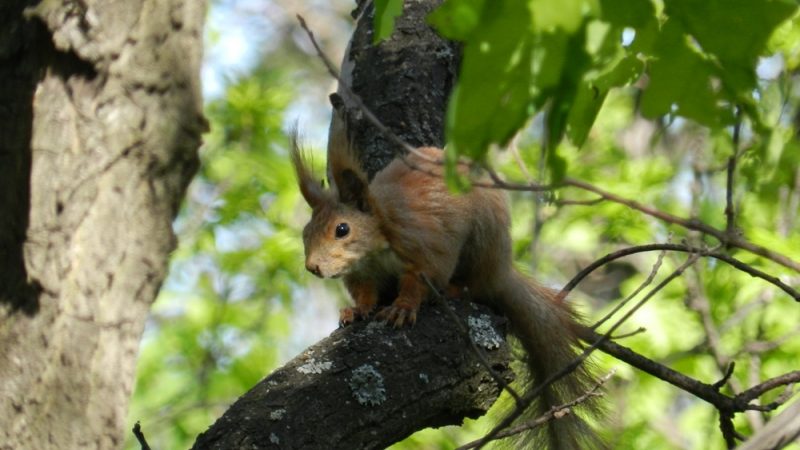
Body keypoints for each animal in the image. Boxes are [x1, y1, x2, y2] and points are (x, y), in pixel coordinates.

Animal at [290, 123, 600, 450]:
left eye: (342, 229)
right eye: (306, 232)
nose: (313, 267)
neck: (378, 245)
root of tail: (500, 270)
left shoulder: (425, 246)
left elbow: (419, 281)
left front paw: (402, 308)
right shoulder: (363, 274)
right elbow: (366, 294)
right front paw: (356, 310)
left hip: (482, 244)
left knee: (476, 286)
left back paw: (454, 290)